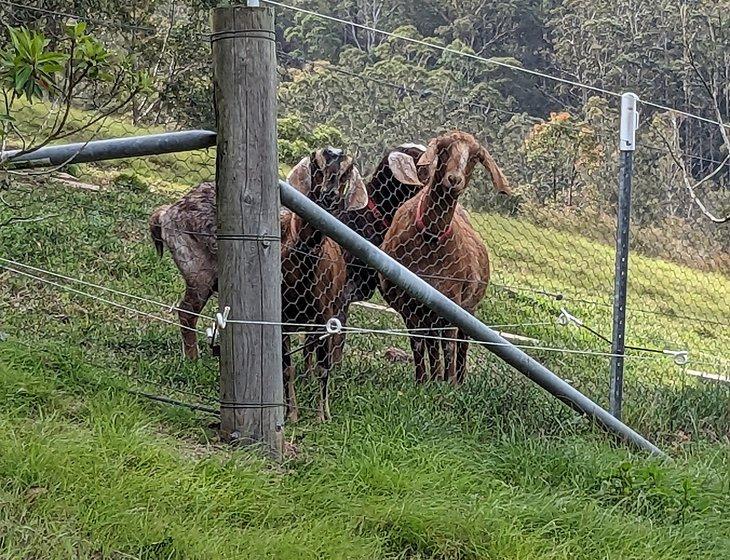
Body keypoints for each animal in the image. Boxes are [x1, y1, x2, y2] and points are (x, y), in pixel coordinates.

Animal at [378, 131, 510, 384]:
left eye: (475, 157)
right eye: (444, 149)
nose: (454, 180)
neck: (431, 238)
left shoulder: (452, 300)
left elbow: (449, 345)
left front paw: (448, 383)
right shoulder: (409, 302)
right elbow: (419, 344)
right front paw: (423, 381)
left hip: (468, 308)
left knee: (460, 343)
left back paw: (456, 379)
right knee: (432, 342)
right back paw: (436, 376)